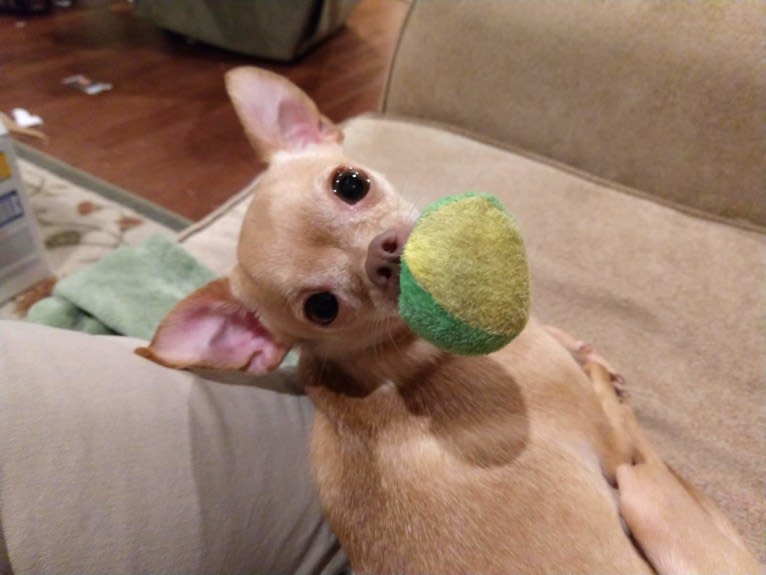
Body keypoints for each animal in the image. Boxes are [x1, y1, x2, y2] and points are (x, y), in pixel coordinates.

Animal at [138, 68, 760, 575]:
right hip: (649, 502)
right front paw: (599, 370)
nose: (383, 256)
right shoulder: (612, 448)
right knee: (653, 470)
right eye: (323, 308)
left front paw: (575, 342)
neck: (390, 353)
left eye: (350, 183)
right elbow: (622, 426)